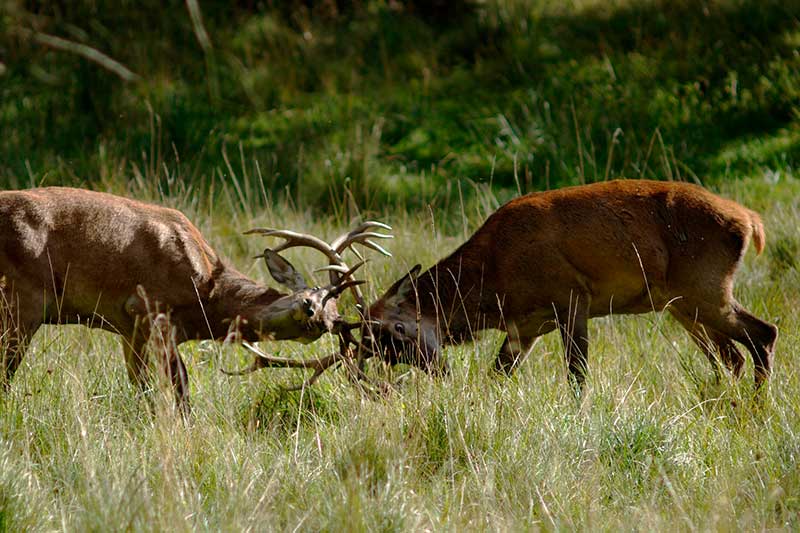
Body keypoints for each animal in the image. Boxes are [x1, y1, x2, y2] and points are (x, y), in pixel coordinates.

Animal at [0, 185, 392, 410]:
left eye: (328, 322)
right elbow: (179, 387)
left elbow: (146, 386)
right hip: (22, 297)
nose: (311, 311)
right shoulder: (150, 308)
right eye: (317, 292)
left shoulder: (130, 327)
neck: (206, 296)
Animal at [360, 179, 776, 390]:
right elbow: (495, 377)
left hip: (704, 288)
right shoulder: (524, 328)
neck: (495, 276)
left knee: (764, 333)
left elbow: (577, 376)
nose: (438, 372)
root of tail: (750, 222)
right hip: (683, 304)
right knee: (733, 357)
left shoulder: (572, 297)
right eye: (381, 351)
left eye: (397, 330)